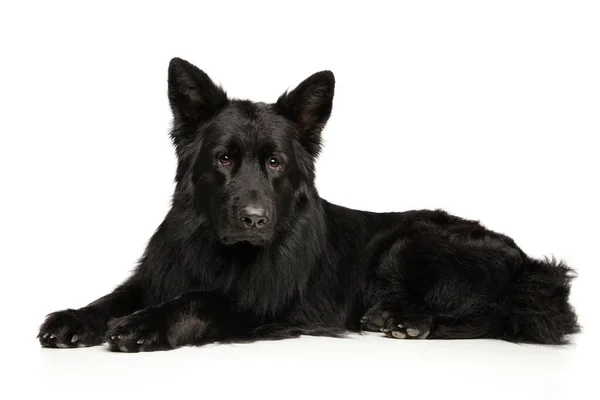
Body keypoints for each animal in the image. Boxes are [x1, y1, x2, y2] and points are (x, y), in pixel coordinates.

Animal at [36, 57, 576, 352]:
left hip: (408, 243)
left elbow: (197, 300)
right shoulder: (156, 275)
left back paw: (405, 322)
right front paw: (73, 319)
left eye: (275, 162)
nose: (254, 220)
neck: (223, 252)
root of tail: (529, 265)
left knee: (488, 314)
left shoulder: (257, 305)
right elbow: (112, 298)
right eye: (224, 158)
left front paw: (142, 326)